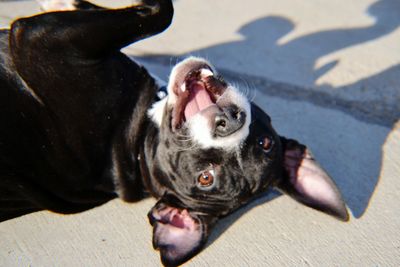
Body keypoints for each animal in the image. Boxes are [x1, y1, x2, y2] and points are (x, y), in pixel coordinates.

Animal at [0, 0, 348, 266]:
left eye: (206, 178)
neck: (134, 149)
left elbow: (161, 11)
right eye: (264, 144)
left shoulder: (39, 41)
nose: (228, 122)